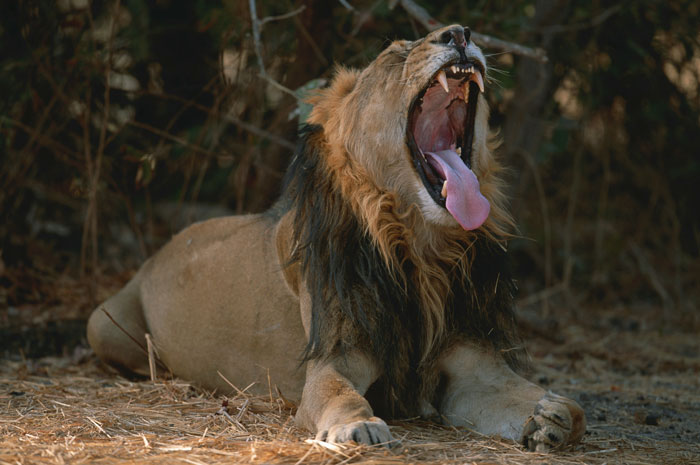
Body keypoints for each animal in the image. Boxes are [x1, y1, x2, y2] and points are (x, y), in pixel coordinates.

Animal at [87, 25, 585, 451]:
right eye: (395, 54)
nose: (460, 33)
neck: (421, 250)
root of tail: (157, 253)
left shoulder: (474, 367)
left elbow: (554, 403)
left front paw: (556, 417)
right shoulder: (333, 357)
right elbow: (339, 394)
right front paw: (358, 426)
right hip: (100, 324)